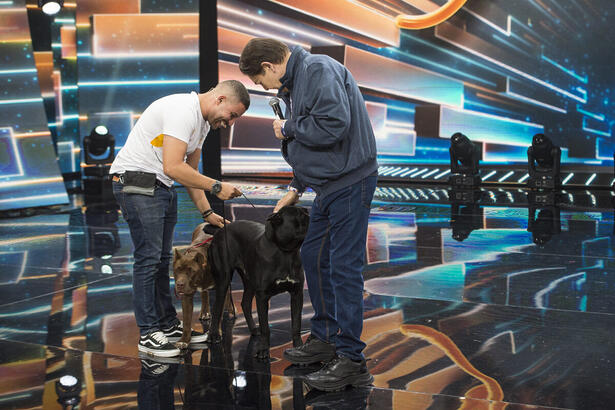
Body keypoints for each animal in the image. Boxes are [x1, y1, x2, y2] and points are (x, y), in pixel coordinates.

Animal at [209, 207, 310, 358]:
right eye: (299, 215)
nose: (308, 212)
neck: (284, 252)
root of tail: (220, 231)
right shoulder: (262, 296)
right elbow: (265, 327)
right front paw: (263, 349)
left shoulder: (297, 293)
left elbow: (296, 324)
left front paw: (298, 347)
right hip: (223, 279)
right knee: (217, 308)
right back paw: (214, 335)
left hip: (249, 282)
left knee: (245, 303)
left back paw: (253, 329)